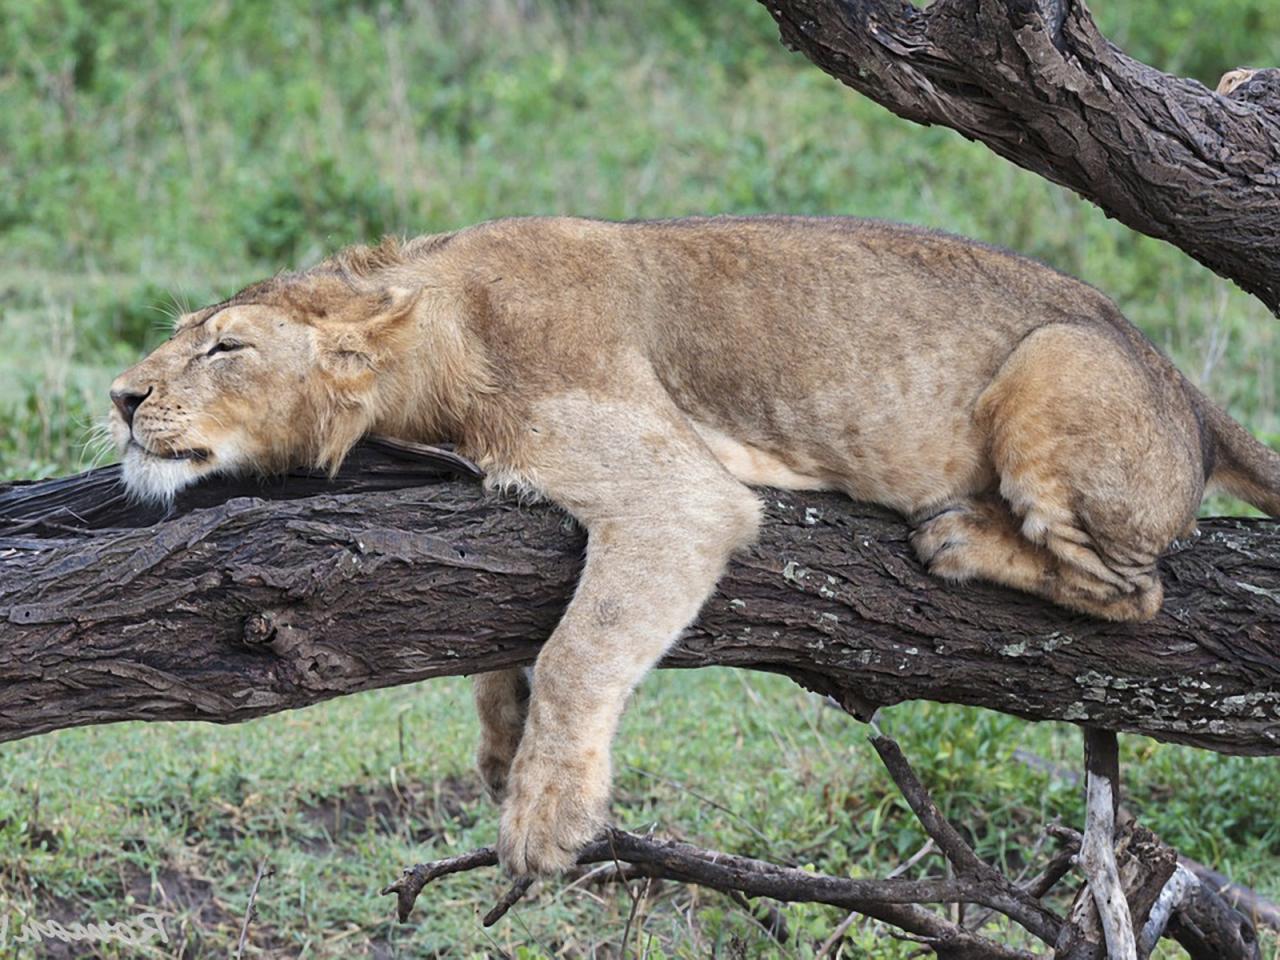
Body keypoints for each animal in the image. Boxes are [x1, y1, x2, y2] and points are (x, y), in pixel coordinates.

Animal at [107, 217, 1280, 880]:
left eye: (225, 346)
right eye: (178, 336)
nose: (119, 396)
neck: (434, 341)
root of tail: (1181, 384)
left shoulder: (679, 494)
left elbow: (583, 649)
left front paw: (545, 816)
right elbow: (509, 636)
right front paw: (499, 738)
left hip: (1051, 367)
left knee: (1133, 592)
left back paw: (957, 538)